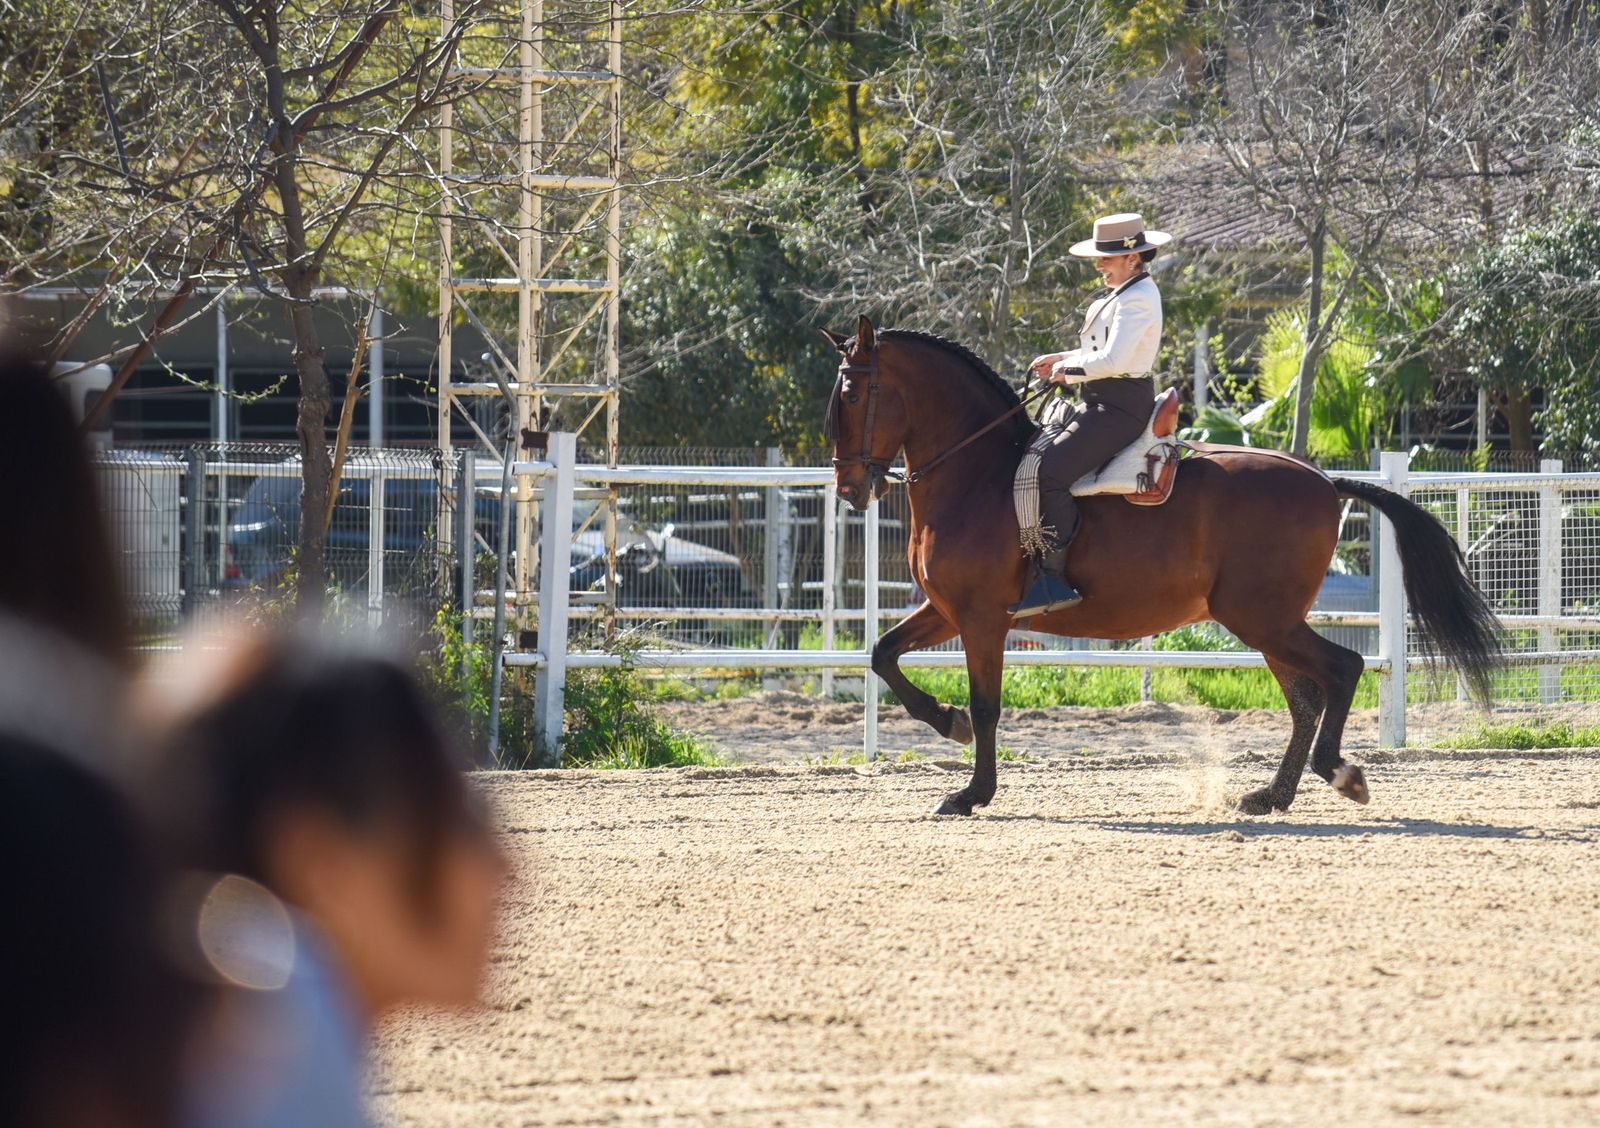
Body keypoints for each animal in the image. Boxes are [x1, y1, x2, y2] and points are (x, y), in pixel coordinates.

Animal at [824, 316, 1501, 817]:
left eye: (853, 393)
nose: (850, 489)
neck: (979, 474)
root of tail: (1322, 480)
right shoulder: (946, 610)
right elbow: (883, 654)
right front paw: (948, 721)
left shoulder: (983, 619)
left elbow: (987, 705)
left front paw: (971, 792)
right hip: (1269, 624)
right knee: (1307, 699)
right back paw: (1271, 796)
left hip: (1262, 619)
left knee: (1342, 670)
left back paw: (1339, 774)